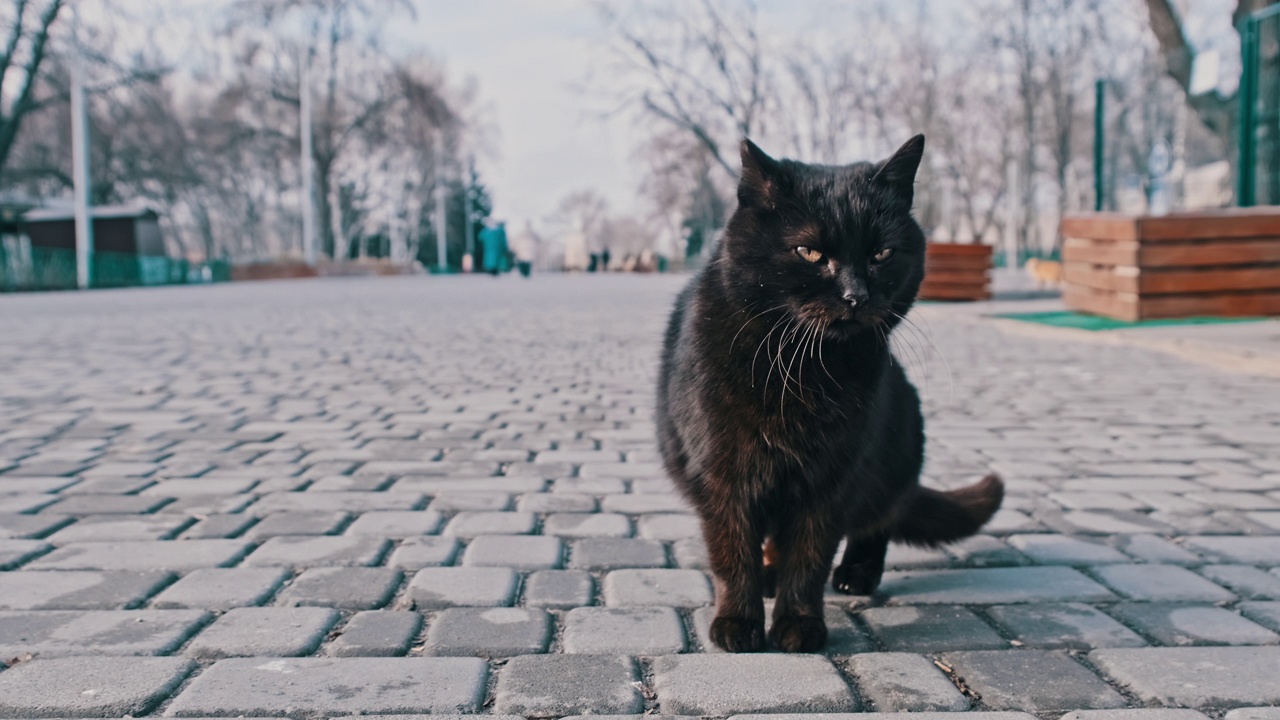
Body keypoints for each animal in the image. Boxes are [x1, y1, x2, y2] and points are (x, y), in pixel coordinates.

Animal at [660, 134, 998, 650]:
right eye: (810, 253)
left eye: (881, 254)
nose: (856, 296)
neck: (801, 370)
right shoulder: (724, 474)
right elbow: (732, 553)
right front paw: (739, 621)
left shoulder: (833, 476)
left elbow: (810, 555)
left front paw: (798, 623)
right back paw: (768, 576)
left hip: (895, 448)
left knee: (881, 518)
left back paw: (856, 573)